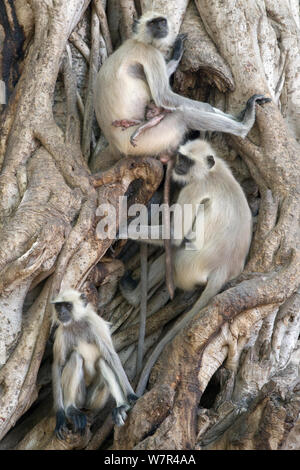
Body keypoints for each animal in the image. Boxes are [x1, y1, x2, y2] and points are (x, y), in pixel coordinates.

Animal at [51, 288, 137, 438]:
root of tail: (85, 406)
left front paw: (131, 395)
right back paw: (70, 409)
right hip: (80, 398)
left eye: (67, 305)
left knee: (103, 361)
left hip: (95, 401)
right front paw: (60, 416)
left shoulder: (95, 324)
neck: (76, 323)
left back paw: (121, 406)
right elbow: (58, 365)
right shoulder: (62, 332)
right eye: (58, 306)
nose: (60, 313)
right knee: (76, 357)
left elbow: (111, 356)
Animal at [94, 11, 272, 169]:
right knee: (184, 115)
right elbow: (163, 96)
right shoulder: (150, 53)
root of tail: (115, 146)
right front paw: (209, 108)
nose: (161, 27)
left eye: (161, 21)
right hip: (143, 142)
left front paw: (176, 54)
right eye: (152, 23)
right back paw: (245, 125)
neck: (139, 41)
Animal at [119, 139, 253, 392]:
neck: (211, 172)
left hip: (187, 267)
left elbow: (174, 234)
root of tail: (222, 269)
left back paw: (132, 296)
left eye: (187, 161)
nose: (178, 166)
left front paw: (120, 229)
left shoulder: (195, 188)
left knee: (174, 252)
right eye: (180, 158)